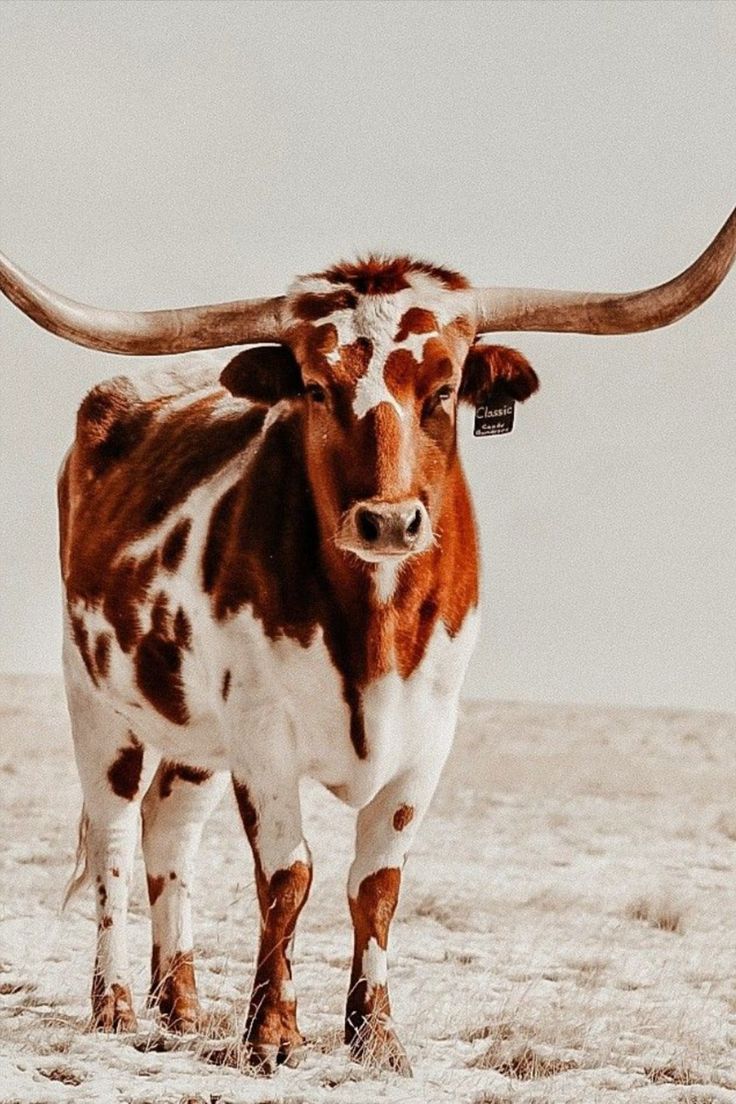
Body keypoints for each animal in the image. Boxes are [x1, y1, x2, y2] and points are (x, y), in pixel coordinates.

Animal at [0, 209, 734, 1076]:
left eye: (444, 390)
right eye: (317, 389)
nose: (388, 522)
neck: (374, 632)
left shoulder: (428, 735)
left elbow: (376, 884)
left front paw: (376, 1036)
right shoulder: (262, 733)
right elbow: (288, 875)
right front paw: (272, 1032)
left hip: (194, 728)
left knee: (167, 825)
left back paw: (178, 1003)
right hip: (96, 700)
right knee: (114, 831)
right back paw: (114, 1003)